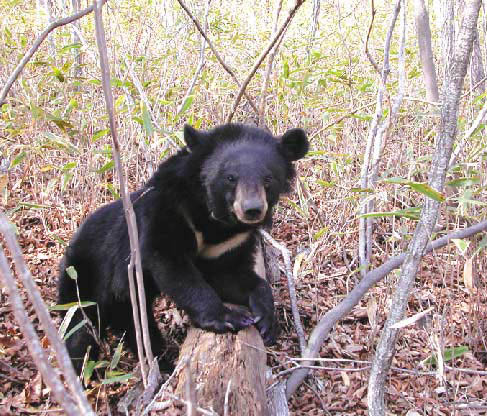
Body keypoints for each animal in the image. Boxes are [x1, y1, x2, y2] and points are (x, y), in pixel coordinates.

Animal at [57, 122, 308, 370]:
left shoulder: (227, 245)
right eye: (230, 177)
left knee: (134, 326)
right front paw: (228, 319)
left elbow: (229, 275)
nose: (252, 209)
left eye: (268, 178)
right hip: (83, 277)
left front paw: (266, 319)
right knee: (79, 327)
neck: (216, 222)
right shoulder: (168, 213)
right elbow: (175, 268)